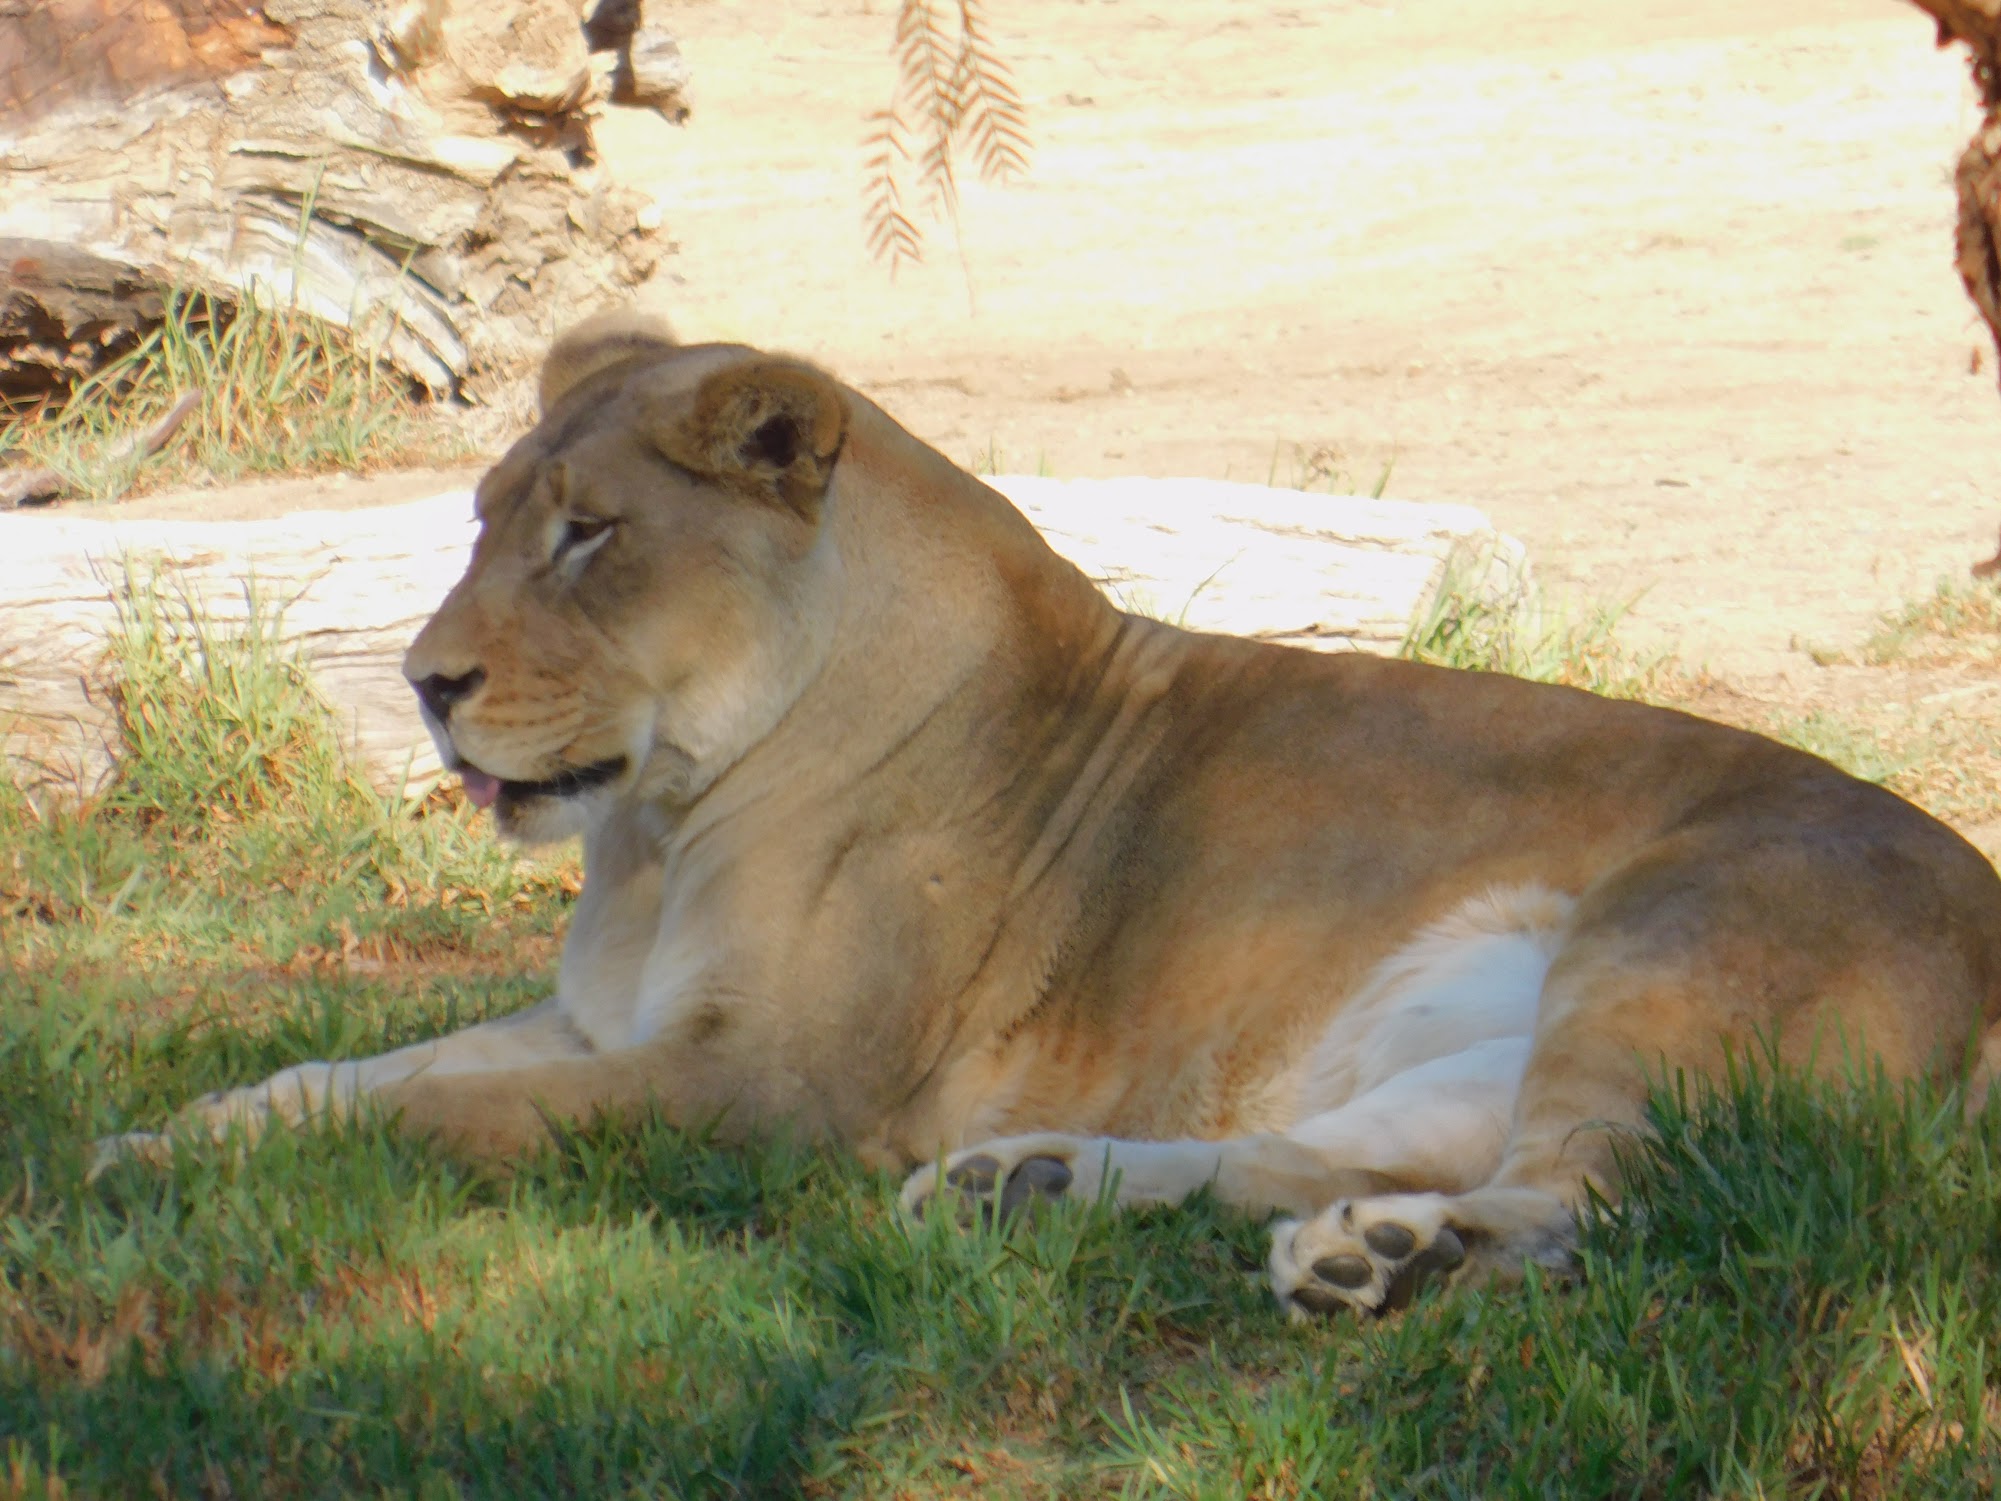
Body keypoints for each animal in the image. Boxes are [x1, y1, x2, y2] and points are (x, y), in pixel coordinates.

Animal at [94, 311, 2001, 1318]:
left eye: (586, 535)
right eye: (489, 516)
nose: (424, 681)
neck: (658, 826)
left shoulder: (765, 1091)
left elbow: (445, 1116)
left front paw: (187, 1162)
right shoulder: (594, 1020)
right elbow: (354, 1068)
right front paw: (179, 1129)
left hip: (1665, 945)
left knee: (1585, 1199)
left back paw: (1382, 1261)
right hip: (1461, 1032)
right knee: (1345, 1153)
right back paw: (1075, 1191)